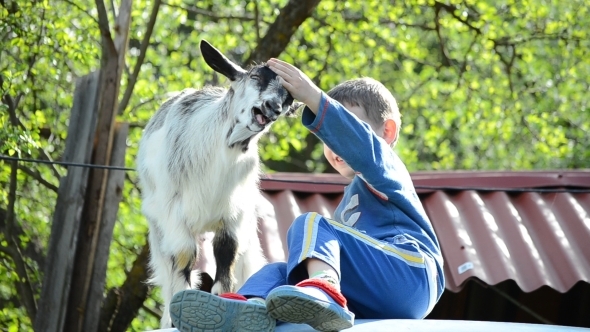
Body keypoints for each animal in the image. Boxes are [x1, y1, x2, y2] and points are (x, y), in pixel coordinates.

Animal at [136, 39, 298, 326]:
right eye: (255, 77)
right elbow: (184, 258)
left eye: (288, 97)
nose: (273, 108)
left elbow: (225, 259)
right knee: (168, 269)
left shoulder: (232, 217)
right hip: (156, 224)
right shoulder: (174, 214)